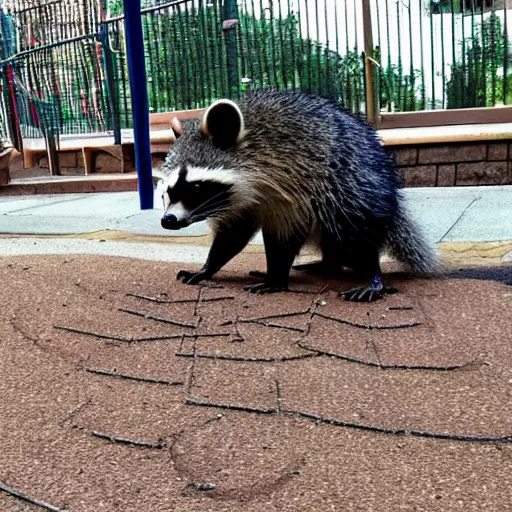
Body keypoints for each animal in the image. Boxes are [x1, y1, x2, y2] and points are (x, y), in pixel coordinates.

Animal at [156, 89, 436, 302]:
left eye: (195, 188)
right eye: (167, 192)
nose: (168, 220)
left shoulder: (291, 186)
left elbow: (283, 236)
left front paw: (277, 277)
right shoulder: (245, 200)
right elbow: (233, 234)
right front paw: (209, 266)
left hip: (353, 184)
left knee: (352, 227)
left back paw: (370, 273)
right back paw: (329, 263)